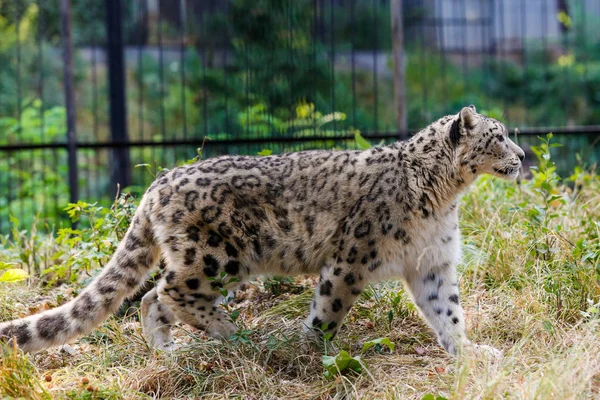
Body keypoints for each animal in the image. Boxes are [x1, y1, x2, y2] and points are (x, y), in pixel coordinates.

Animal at [0, 104, 524, 360]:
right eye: (498, 136)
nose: (521, 156)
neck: (444, 198)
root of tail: (157, 185)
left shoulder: (432, 263)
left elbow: (447, 312)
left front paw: (470, 351)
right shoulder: (351, 259)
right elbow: (330, 310)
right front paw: (309, 346)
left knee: (151, 297)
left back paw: (167, 351)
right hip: (217, 256)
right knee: (169, 291)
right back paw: (236, 335)